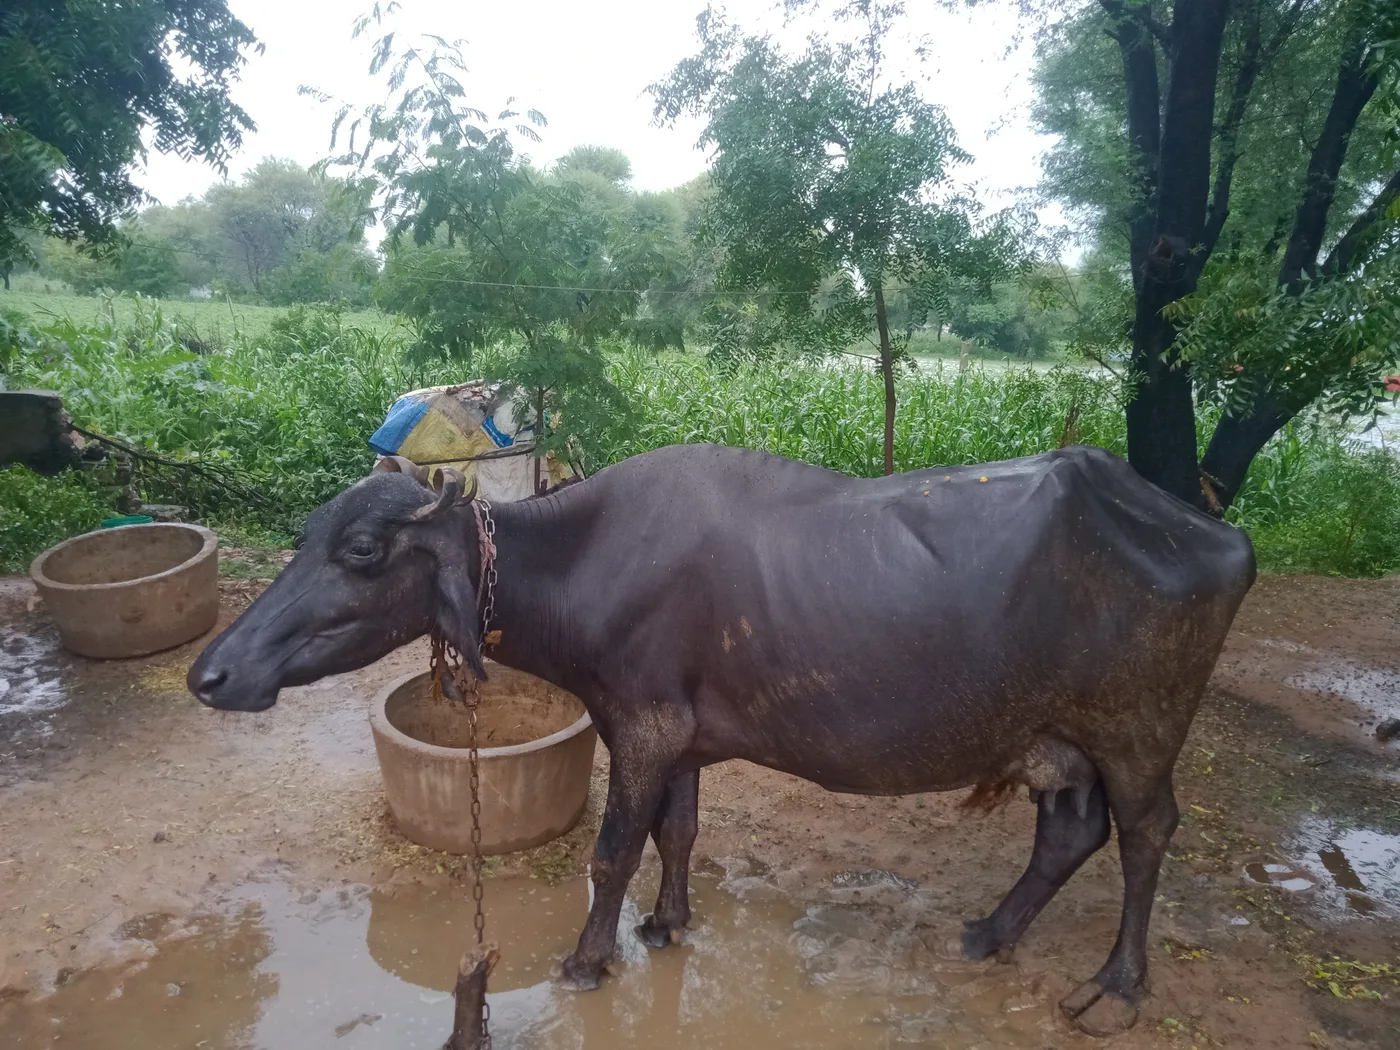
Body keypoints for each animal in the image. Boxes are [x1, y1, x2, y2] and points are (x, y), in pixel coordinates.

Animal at [189, 442, 1255, 1035]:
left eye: (363, 551)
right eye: (302, 538)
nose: (212, 673)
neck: (585, 558)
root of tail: (1214, 534)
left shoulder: (640, 728)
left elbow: (612, 851)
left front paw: (589, 959)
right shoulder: (681, 742)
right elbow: (679, 834)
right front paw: (668, 924)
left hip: (1139, 731)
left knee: (1147, 834)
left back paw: (1116, 985)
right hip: (1059, 741)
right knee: (1071, 833)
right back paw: (989, 933)